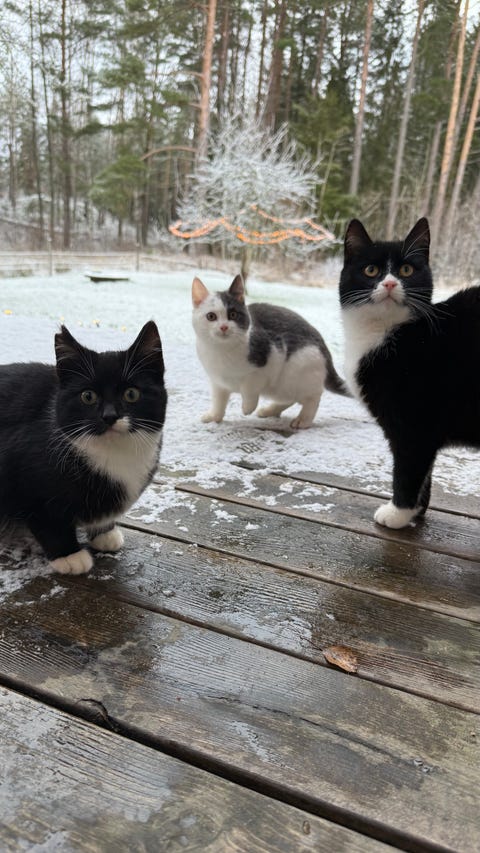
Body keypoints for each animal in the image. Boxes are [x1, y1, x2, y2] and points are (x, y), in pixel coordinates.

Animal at [0, 321, 167, 574]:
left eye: (131, 394)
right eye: (88, 396)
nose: (110, 416)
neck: (114, 453)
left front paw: (104, 532)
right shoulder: (23, 476)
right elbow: (47, 520)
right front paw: (68, 555)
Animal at [192, 274, 349, 429]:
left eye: (233, 314)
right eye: (211, 316)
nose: (224, 327)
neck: (222, 350)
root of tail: (324, 349)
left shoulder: (271, 358)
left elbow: (249, 386)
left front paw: (247, 407)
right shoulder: (218, 382)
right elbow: (219, 400)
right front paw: (214, 416)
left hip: (298, 368)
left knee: (313, 396)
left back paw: (303, 420)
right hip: (283, 387)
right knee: (290, 398)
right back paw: (269, 410)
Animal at [340, 216, 480, 528]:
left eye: (406, 270)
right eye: (371, 270)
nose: (391, 282)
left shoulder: (414, 422)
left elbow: (408, 468)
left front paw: (398, 513)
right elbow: (424, 473)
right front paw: (416, 512)